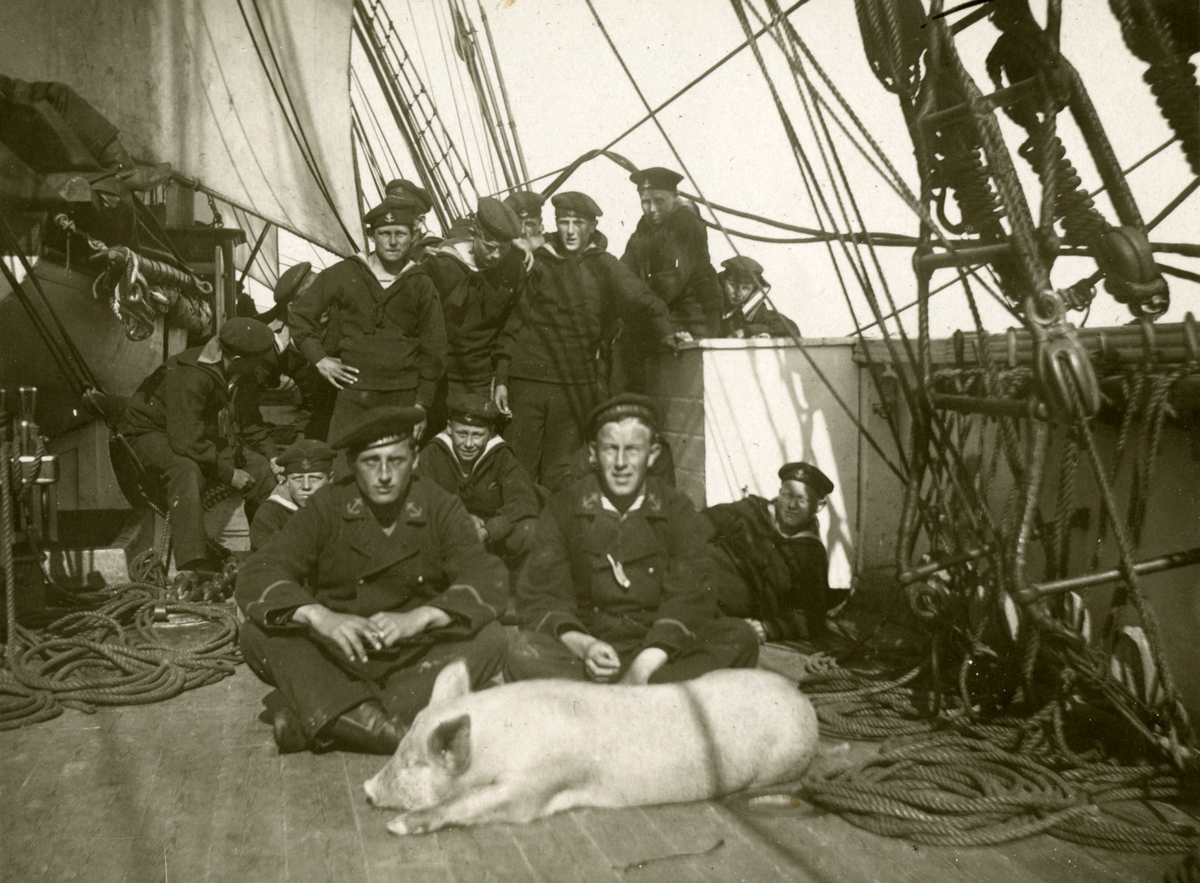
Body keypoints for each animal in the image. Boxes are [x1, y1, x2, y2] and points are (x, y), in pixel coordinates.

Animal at [363, 659, 819, 835]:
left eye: (412, 763)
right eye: (399, 748)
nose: (366, 789)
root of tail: (804, 703)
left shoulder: (536, 785)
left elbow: (473, 802)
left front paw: (396, 826)